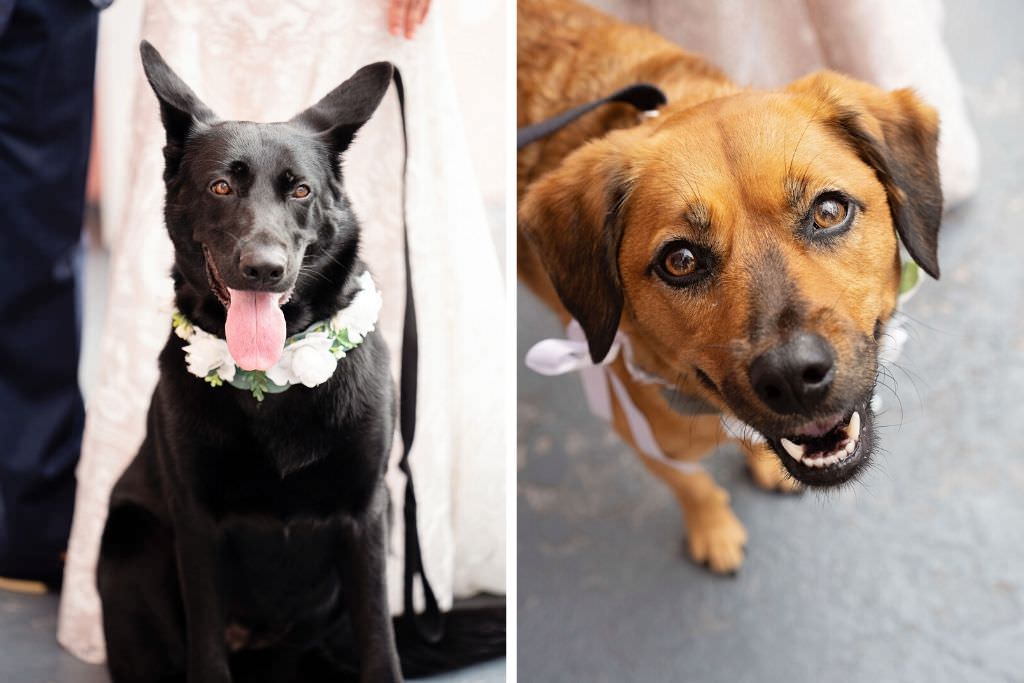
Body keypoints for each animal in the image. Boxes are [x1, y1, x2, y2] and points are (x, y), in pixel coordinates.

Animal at [97, 44, 505, 683]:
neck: (276, 381)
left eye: (301, 192)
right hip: (130, 544)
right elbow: (206, 651)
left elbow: (379, 645)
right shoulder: (196, 522)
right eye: (220, 186)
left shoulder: (367, 516)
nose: (265, 269)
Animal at [520, 0, 942, 573]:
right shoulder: (642, 438)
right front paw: (714, 530)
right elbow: (692, 487)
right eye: (680, 261)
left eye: (829, 211)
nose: (792, 376)